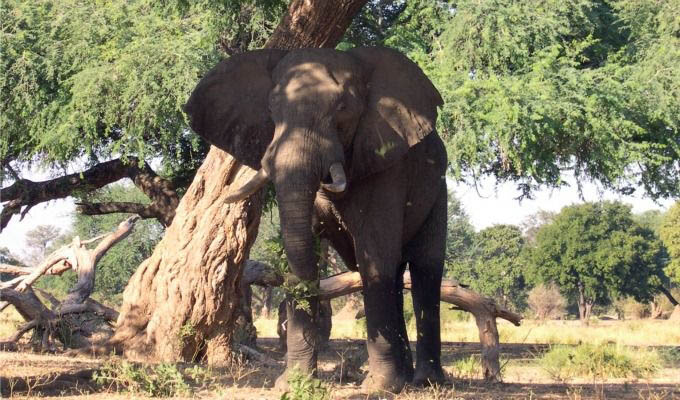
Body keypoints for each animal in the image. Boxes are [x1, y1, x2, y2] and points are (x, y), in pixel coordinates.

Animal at [186, 46, 448, 390]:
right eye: (272, 109)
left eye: (342, 109)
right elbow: (302, 247)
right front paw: (292, 382)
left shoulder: (386, 163)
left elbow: (374, 256)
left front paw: (379, 387)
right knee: (396, 273)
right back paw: (405, 378)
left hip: (439, 191)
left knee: (424, 269)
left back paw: (426, 382)